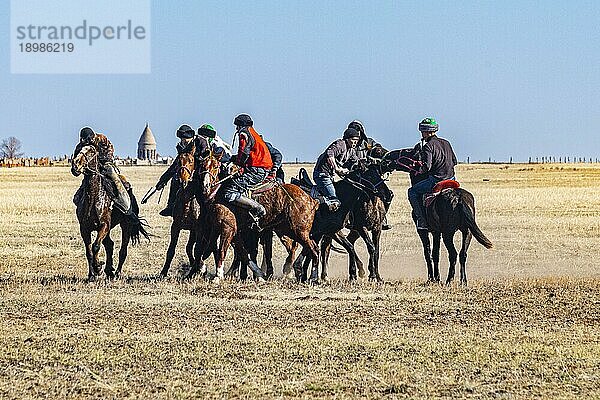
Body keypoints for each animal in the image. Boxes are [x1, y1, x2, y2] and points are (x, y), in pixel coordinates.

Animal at [71, 145, 149, 280]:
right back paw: (109, 270)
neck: (94, 199)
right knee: (109, 245)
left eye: (91, 151)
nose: (75, 165)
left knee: (122, 250)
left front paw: (98, 267)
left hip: (126, 225)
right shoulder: (84, 229)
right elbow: (89, 251)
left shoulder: (104, 225)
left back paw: (116, 273)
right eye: (79, 149)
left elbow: (95, 246)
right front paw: (92, 275)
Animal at [384, 149, 492, 284]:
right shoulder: (436, 232)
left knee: (453, 254)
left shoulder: (423, 231)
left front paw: (431, 278)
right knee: (462, 254)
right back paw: (463, 281)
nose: (388, 156)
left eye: (408, 151)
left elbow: (428, 253)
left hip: (448, 233)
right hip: (467, 232)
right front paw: (436, 278)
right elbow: (436, 254)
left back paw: (449, 280)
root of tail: (459, 197)